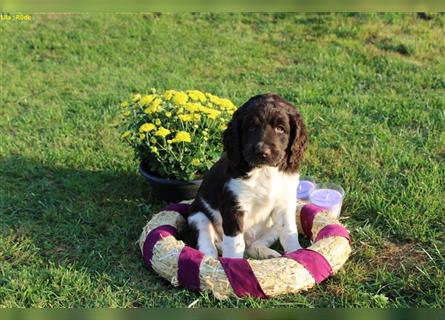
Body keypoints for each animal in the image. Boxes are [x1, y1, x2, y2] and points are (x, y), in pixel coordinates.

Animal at [186, 94, 306, 258]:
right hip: (198, 216)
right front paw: (232, 262)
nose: (262, 152)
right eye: (251, 128)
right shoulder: (233, 207)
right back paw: (210, 257)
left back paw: (268, 253)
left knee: (254, 245)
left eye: (280, 129)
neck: (264, 171)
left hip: (271, 227)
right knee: (208, 241)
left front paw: (296, 254)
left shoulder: (285, 203)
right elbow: (235, 243)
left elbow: (289, 232)